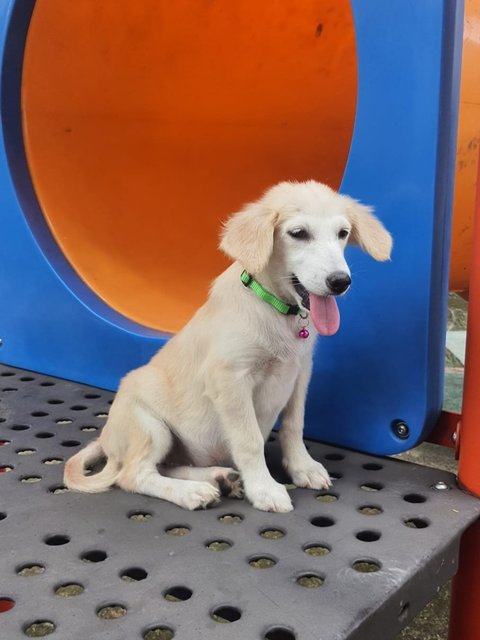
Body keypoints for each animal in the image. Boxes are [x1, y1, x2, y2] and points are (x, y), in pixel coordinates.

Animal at [63, 180, 392, 510]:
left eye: (342, 233)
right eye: (299, 233)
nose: (340, 282)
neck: (276, 310)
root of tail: (106, 437)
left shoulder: (300, 373)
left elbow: (294, 425)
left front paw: (303, 468)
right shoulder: (230, 379)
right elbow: (250, 441)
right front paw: (264, 489)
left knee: (167, 466)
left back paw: (217, 477)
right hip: (149, 425)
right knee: (134, 474)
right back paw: (191, 492)